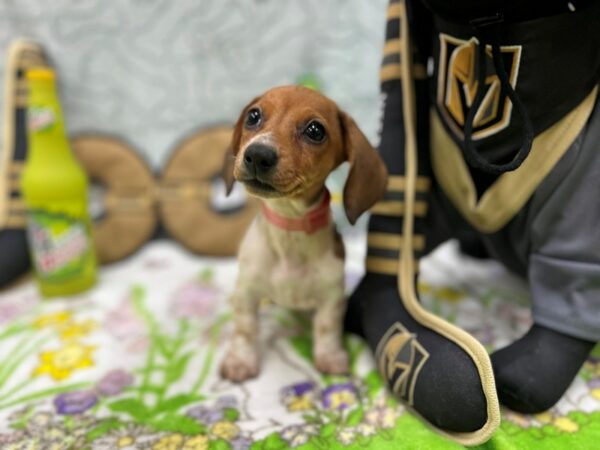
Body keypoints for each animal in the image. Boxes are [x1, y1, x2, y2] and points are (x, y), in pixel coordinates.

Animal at [223, 86, 386, 382]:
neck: (290, 228)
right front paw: (240, 360)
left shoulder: (331, 298)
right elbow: (245, 329)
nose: (258, 154)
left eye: (315, 130)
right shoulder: (247, 292)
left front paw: (330, 356)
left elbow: (327, 328)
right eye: (253, 116)